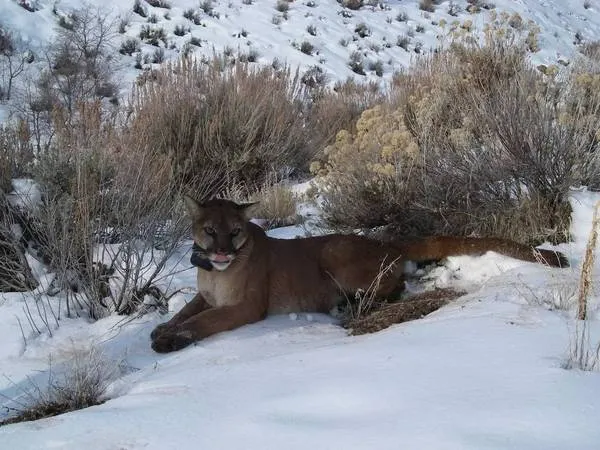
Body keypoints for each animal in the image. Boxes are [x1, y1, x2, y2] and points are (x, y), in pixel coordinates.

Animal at [150, 197, 568, 352]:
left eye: (235, 231)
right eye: (209, 230)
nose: (221, 251)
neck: (216, 274)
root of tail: (390, 244)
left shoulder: (246, 307)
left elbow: (204, 321)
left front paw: (170, 339)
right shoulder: (206, 294)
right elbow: (188, 310)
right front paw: (163, 327)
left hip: (334, 254)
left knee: (395, 285)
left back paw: (351, 306)